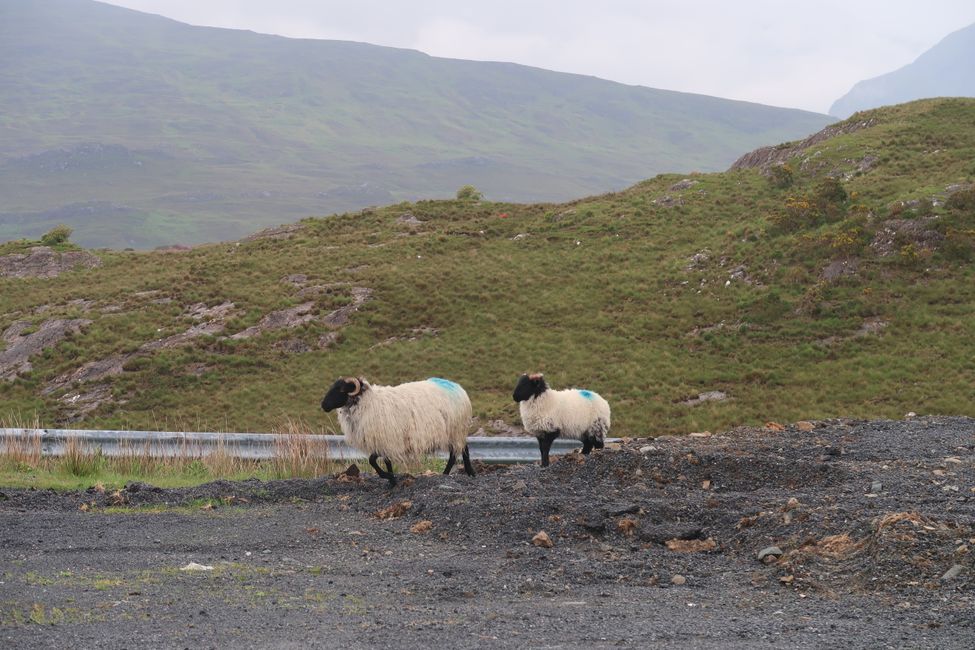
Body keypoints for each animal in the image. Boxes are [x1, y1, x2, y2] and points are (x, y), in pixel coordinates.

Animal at [322, 372, 474, 484]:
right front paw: (392, 480)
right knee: (460, 450)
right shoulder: (385, 441)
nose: (323, 405)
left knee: (459, 451)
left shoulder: (386, 439)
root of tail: (458, 388)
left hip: (456, 429)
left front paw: (388, 477)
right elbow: (385, 461)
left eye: (341, 389)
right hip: (453, 432)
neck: (367, 402)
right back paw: (464, 472)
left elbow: (372, 460)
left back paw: (454, 472)